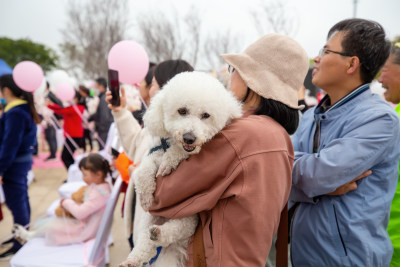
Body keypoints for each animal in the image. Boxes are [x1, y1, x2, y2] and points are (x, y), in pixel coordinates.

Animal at [119, 71, 242, 267]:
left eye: (206, 115)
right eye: (182, 111)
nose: (189, 137)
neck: (171, 144)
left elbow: (176, 154)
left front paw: (169, 162)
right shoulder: (154, 154)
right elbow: (143, 172)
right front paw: (145, 197)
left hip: (187, 217)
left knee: (174, 231)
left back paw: (160, 234)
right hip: (149, 219)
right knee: (145, 242)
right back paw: (133, 259)